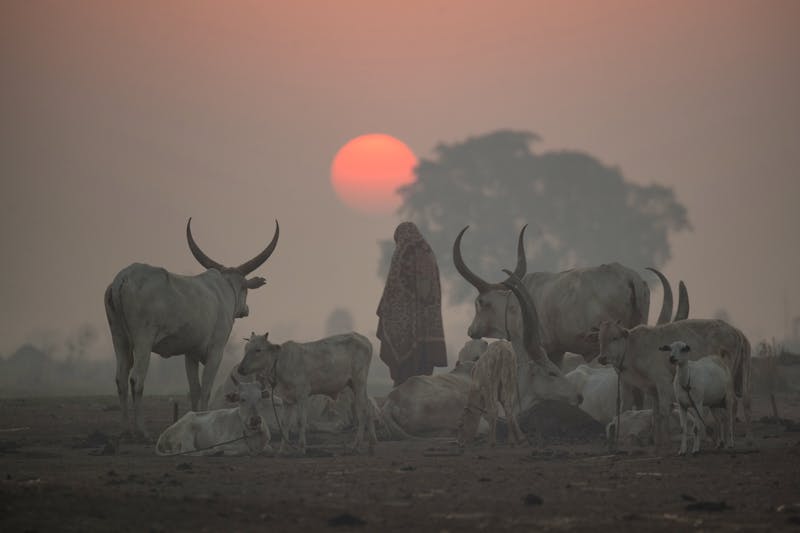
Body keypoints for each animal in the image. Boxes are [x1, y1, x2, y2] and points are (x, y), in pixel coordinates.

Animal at [105, 218, 282, 434]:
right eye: (245, 288)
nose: (246, 309)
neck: (225, 289)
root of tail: (123, 278)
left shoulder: (190, 353)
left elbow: (194, 389)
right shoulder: (216, 351)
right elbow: (205, 388)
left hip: (119, 338)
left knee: (121, 379)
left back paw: (124, 429)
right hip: (143, 341)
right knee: (136, 379)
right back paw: (141, 430)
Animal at [236, 330, 376, 450]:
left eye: (258, 350)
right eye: (246, 348)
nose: (240, 369)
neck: (280, 362)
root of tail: (363, 339)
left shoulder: (302, 395)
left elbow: (301, 421)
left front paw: (301, 447)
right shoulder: (287, 399)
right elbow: (284, 423)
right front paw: (282, 449)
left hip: (359, 382)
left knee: (362, 410)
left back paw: (357, 444)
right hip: (354, 385)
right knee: (369, 407)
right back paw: (371, 443)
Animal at [450, 224, 688, 366]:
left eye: (479, 302)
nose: (471, 330)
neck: (514, 304)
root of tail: (630, 278)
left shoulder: (534, 349)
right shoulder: (556, 351)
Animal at [588, 318, 752, 446]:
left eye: (614, 338)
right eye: (600, 339)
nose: (602, 358)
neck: (634, 348)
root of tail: (735, 331)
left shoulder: (663, 382)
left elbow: (664, 411)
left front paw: (665, 440)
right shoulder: (649, 387)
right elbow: (653, 413)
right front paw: (653, 440)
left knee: (733, 405)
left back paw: (731, 439)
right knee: (743, 403)